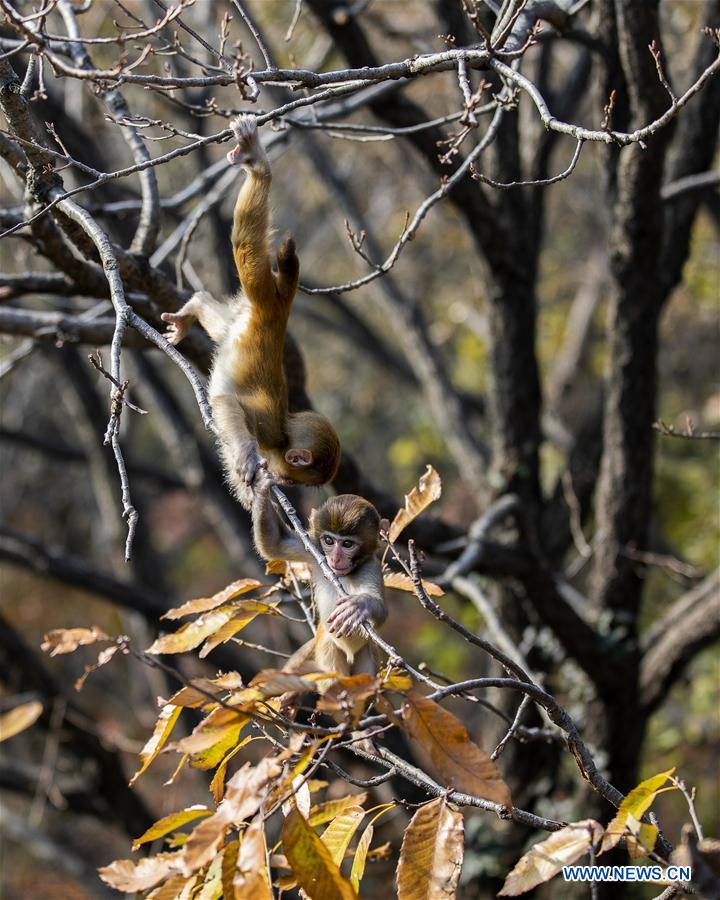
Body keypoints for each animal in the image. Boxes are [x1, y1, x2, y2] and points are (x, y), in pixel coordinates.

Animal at [162, 114, 342, 506]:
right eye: (300, 480)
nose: (289, 484)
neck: (284, 433)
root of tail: (282, 307)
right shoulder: (266, 428)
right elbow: (228, 404)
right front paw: (246, 456)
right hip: (262, 290)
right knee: (244, 242)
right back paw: (258, 165)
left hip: (249, 311)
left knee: (221, 325)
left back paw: (193, 307)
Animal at [253, 482, 388, 680]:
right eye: (329, 541)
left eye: (347, 544)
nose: (335, 559)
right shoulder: (312, 549)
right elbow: (276, 543)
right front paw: (262, 488)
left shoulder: (371, 567)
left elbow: (379, 605)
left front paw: (360, 605)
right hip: (327, 642)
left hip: (365, 650)